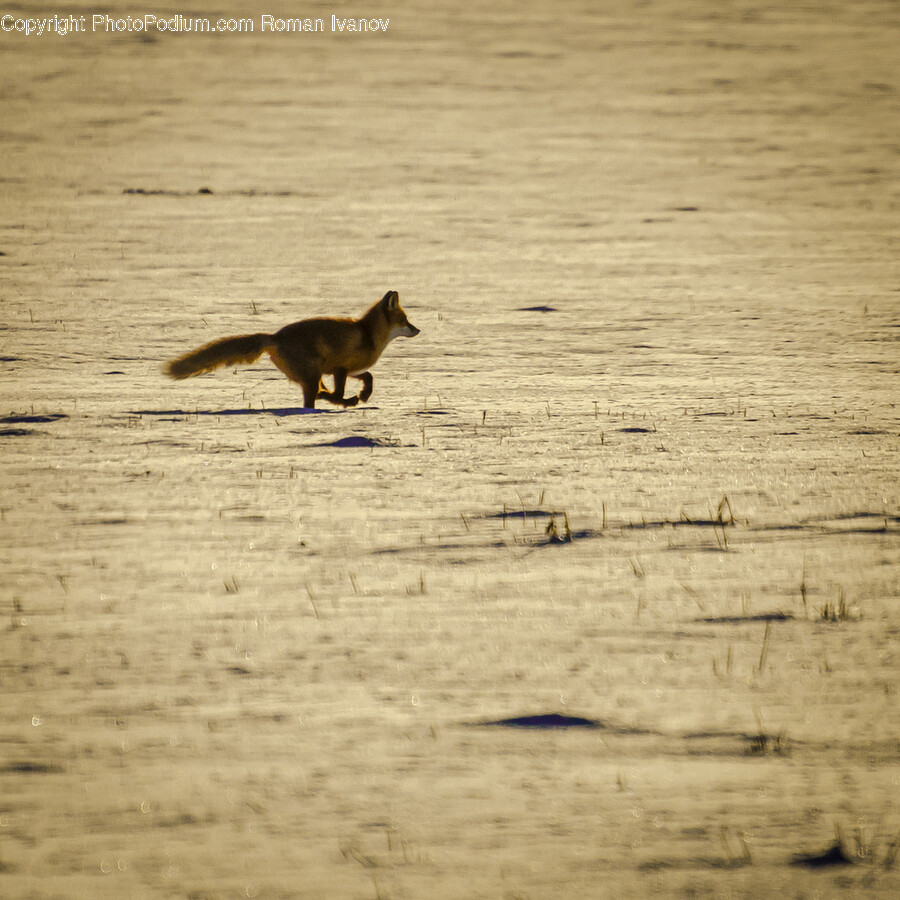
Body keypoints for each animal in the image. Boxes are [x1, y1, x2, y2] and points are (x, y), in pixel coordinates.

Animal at [165, 290, 419, 409]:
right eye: (405, 320)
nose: (418, 330)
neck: (369, 336)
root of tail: (275, 336)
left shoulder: (350, 369)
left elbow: (369, 377)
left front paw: (365, 394)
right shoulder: (339, 368)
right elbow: (338, 392)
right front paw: (350, 399)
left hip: (312, 375)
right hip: (313, 373)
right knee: (314, 397)